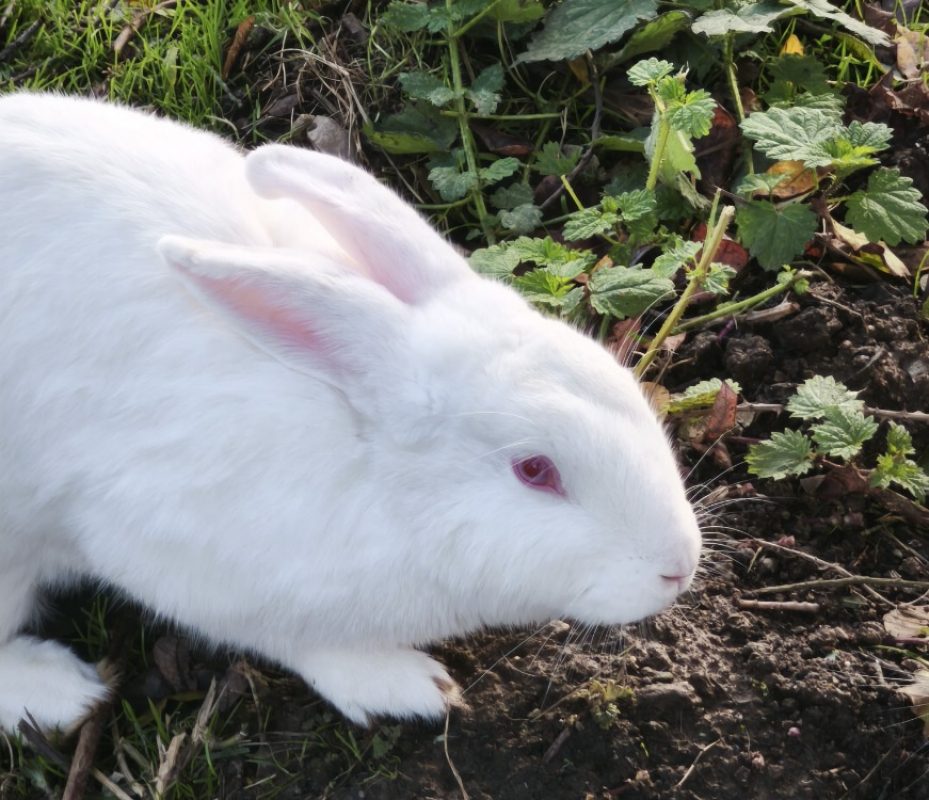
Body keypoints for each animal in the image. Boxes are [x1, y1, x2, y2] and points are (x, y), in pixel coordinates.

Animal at [0, 92, 702, 733]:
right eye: (534, 471)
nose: (679, 568)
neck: (374, 477)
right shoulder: (182, 561)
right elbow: (296, 640)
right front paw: (407, 686)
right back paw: (63, 693)